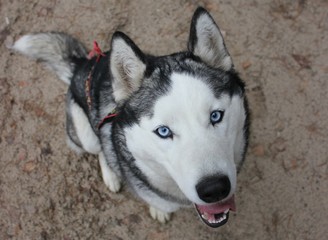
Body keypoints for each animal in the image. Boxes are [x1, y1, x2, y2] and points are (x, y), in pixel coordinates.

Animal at [11, 7, 250, 228]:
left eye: (216, 116)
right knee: (100, 148)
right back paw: (111, 174)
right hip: (85, 135)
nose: (214, 188)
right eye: (163, 131)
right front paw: (158, 209)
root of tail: (82, 64)